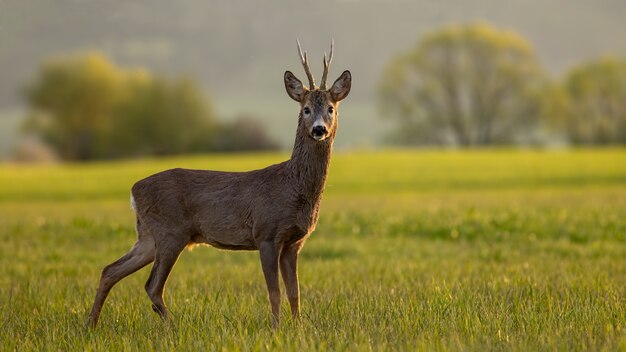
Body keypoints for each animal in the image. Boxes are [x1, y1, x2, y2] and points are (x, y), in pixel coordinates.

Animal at [86, 40, 352, 328]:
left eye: (331, 109)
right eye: (305, 109)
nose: (318, 129)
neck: (293, 188)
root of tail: (134, 190)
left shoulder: (294, 242)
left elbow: (295, 293)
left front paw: (299, 328)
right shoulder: (266, 233)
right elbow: (275, 291)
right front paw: (276, 328)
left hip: (147, 236)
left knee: (110, 270)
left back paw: (91, 324)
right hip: (170, 231)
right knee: (152, 285)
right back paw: (172, 327)